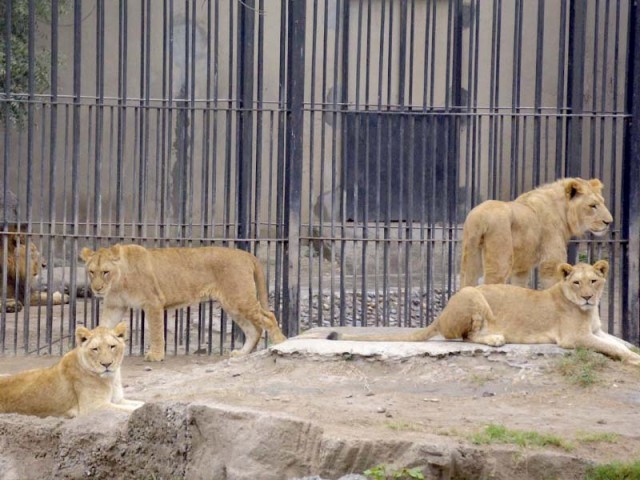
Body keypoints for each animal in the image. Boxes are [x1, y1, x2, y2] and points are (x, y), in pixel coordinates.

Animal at [0, 322, 144, 416]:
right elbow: (129, 410)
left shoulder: (118, 400)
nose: (107, 364)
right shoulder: (93, 407)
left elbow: (140, 404)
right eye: (95, 349)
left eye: (112, 346)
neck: (111, 379)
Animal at [80, 244, 288, 360]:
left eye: (105, 272)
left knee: (268, 317)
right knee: (254, 329)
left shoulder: (153, 302)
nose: (96, 289)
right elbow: (101, 328)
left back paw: (281, 343)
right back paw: (242, 354)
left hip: (239, 298)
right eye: (91, 272)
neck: (117, 281)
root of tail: (246, 255)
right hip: (232, 304)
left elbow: (156, 331)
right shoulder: (115, 306)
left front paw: (156, 356)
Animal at [330, 260, 640, 366]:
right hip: (472, 294)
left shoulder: (596, 331)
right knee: (466, 337)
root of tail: (441, 313)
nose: (588, 297)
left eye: (594, 281)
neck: (589, 311)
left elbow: (618, 343)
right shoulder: (574, 338)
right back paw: (494, 339)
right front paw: (632, 360)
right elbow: (614, 348)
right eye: (577, 282)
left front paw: (634, 353)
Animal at [462, 177, 612, 286]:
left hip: (470, 261)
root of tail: (479, 217)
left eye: (603, 202)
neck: (563, 212)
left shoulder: (522, 269)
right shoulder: (552, 263)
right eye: (592, 205)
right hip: (499, 264)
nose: (609, 222)